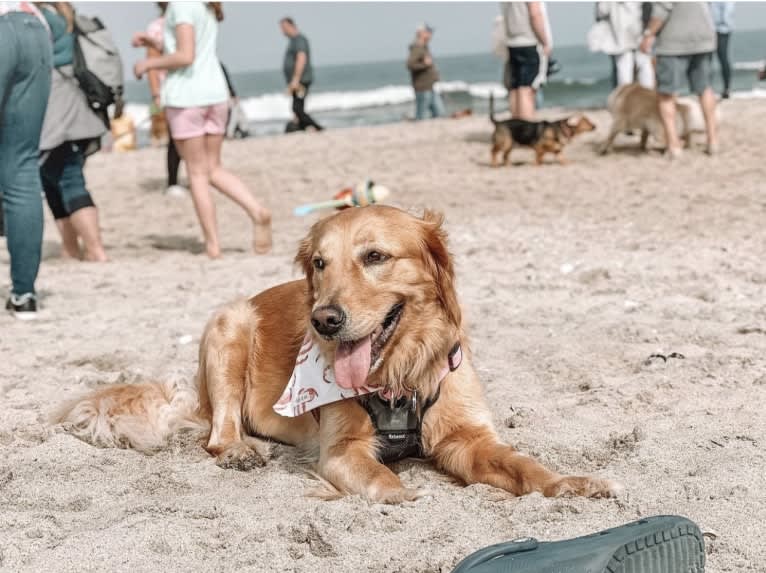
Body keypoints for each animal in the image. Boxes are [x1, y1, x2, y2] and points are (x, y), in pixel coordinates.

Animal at [54, 208, 620, 502]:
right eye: (320, 263)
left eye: (375, 257)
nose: (323, 319)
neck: (398, 374)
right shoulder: (343, 450)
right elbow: (387, 482)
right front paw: (405, 494)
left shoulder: (466, 438)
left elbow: (523, 466)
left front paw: (568, 483)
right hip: (229, 324)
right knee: (218, 431)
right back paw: (239, 449)